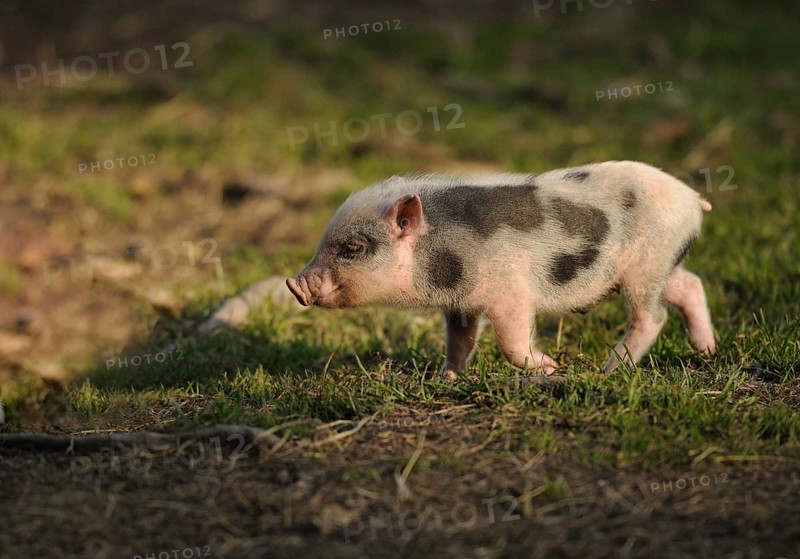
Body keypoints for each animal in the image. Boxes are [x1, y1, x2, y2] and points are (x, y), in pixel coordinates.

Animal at [286, 161, 716, 380]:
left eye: (353, 248)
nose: (295, 284)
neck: (439, 256)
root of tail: (693, 198)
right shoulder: (460, 303)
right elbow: (459, 341)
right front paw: (447, 378)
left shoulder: (511, 293)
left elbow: (511, 340)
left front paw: (551, 367)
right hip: (661, 265)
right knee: (690, 285)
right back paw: (707, 350)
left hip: (647, 265)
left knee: (653, 316)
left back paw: (609, 370)